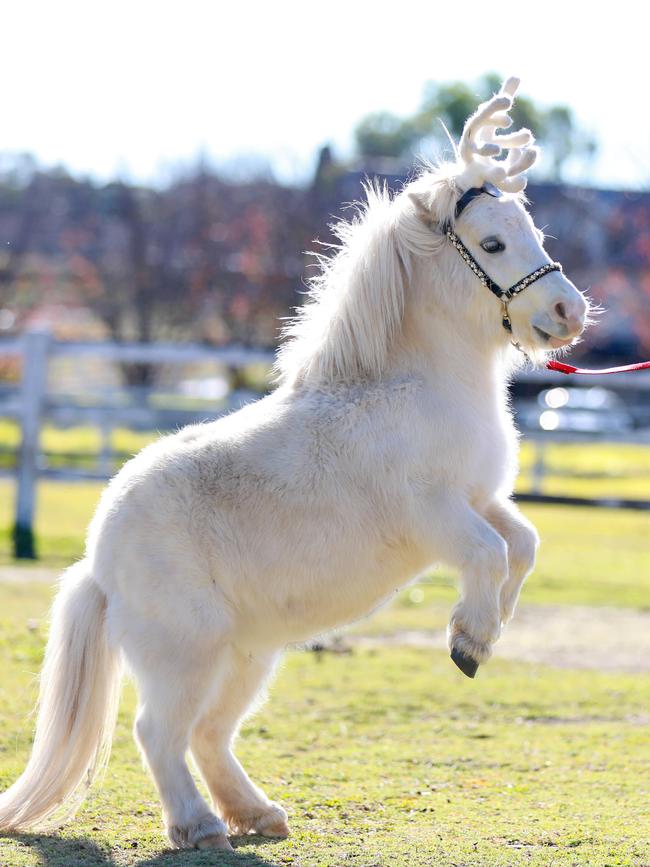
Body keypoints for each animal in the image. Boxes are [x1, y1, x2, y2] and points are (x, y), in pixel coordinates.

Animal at [0, 78, 588, 852]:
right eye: (491, 241)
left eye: (534, 231)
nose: (570, 312)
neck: (407, 384)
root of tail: (97, 562)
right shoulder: (433, 513)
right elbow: (490, 552)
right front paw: (468, 641)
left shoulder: (479, 496)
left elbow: (524, 542)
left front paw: (489, 630)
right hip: (186, 651)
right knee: (159, 732)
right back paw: (198, 827)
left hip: (248, 655)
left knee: (210, 734)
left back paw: (256, 815)